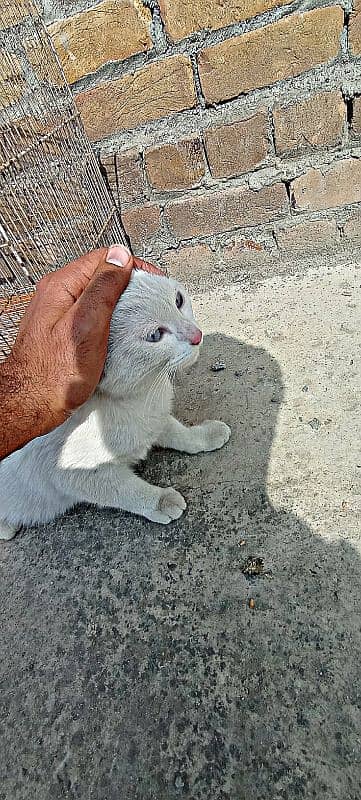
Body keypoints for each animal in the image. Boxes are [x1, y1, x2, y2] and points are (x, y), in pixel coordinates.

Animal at [0, 272, 229, 540]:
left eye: (178, 300)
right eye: (155, 335)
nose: (196, 335)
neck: (135, 400)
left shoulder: (154, 418)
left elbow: (182, 435)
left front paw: (205, 436)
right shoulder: (75, 474)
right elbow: (127, 491)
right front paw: (160, 501)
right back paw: (6, 527)